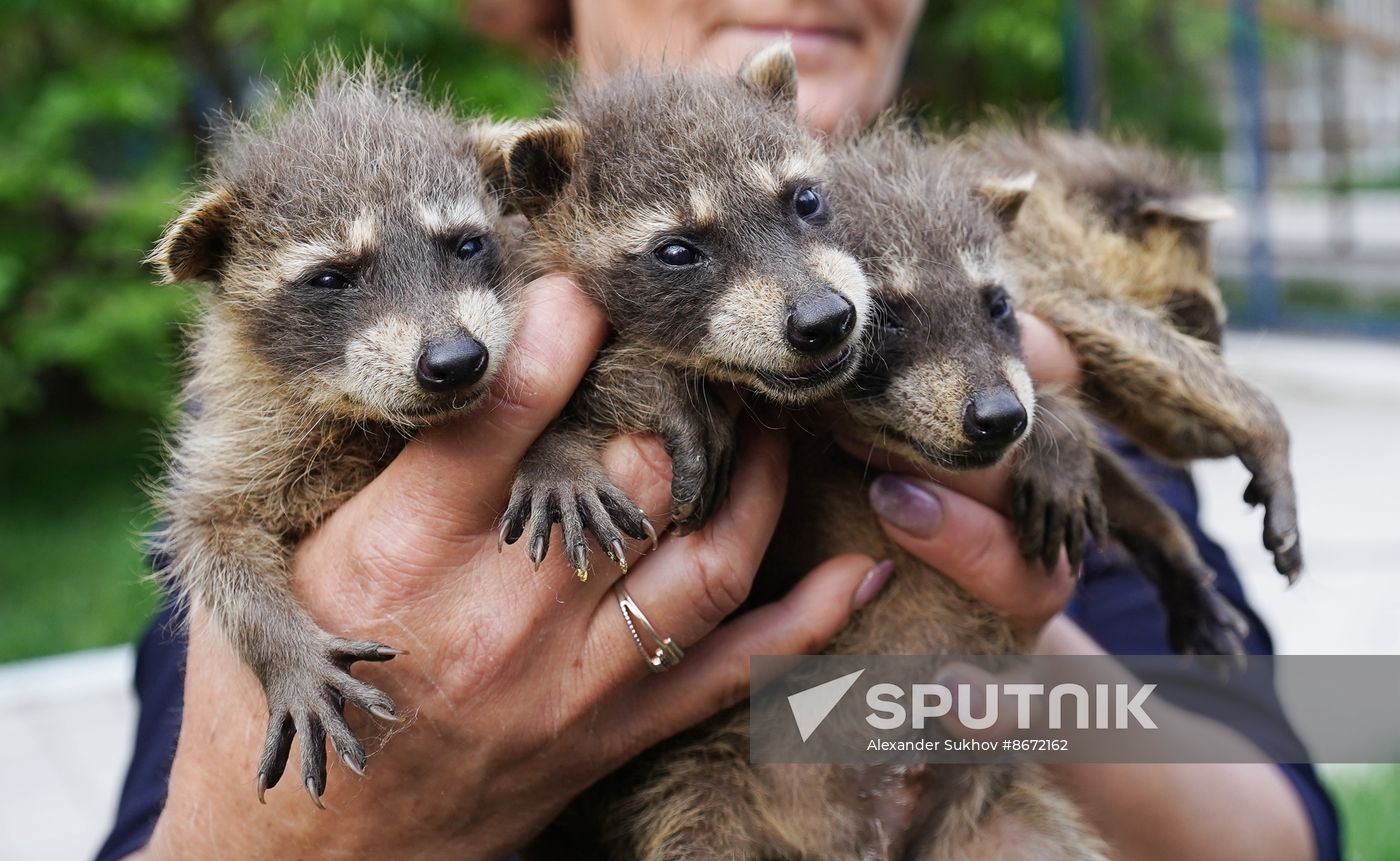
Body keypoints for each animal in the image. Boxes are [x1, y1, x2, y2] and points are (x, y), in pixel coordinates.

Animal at [147, 62, 521, 806]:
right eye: (329, 277)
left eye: (467, 244)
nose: (456, 360)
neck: (376, 419)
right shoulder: (243, 439)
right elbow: (211, 534)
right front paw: (282, 645)